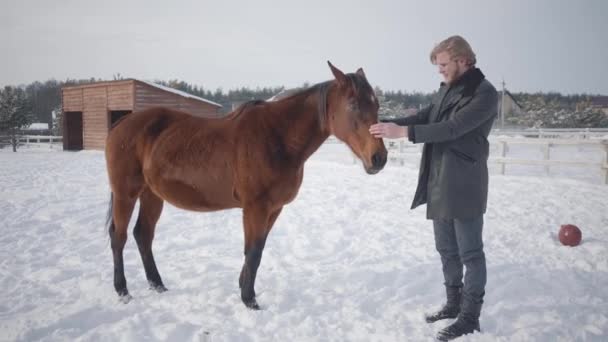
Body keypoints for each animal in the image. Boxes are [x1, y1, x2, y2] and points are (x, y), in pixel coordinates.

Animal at [104, 61, 388, 310]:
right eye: (353, 104)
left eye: (376, 104)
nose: (379, 158)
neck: (278, 137)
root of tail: (121, 124)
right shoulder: (255, 208)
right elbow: (253, 251)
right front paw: (249, 300)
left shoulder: (274, 209)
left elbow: (257, 249)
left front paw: (243, 288)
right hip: (126, 193)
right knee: (119, 236)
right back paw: (123, 291)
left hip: (152, 195)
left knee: (143, 235)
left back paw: (158, 285)